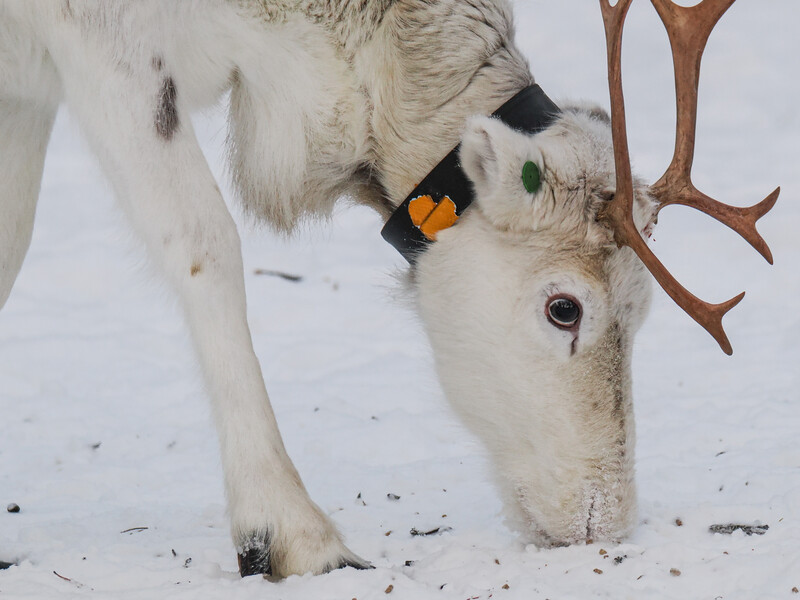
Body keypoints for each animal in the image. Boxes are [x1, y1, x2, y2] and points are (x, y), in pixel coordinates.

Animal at [0, 0, 777, 580]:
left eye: (643, 311)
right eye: (564, 308)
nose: (603, 524)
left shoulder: (26, 85)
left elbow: (12, 245)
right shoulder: (103, 41)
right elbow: (206, 244)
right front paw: (289, 534)